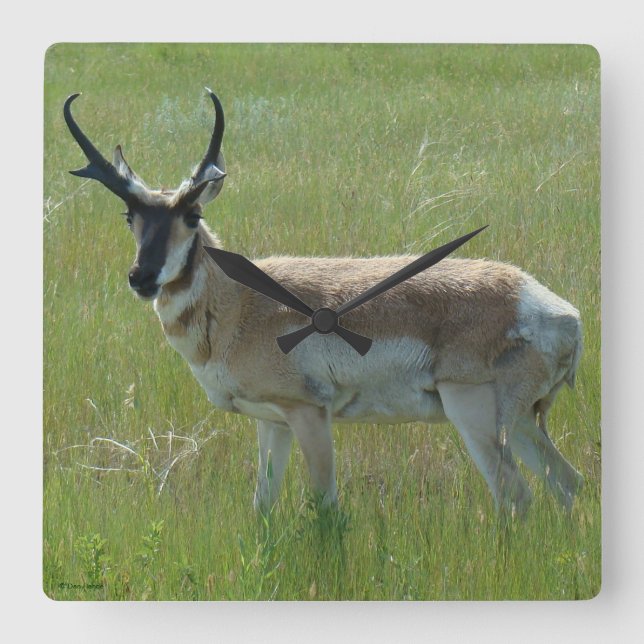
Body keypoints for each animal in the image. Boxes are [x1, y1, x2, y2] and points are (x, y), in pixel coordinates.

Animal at [63, 89, 584, 518]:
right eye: (129, 215)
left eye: (193, 214)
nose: (142, 278)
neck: (239, 305)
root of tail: (559, 312)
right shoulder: (271, 422)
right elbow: (262, 507)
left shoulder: (309, 414)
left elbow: (326, 507)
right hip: (521, 422)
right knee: (567, 483)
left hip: (474, 415)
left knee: (515, 495)